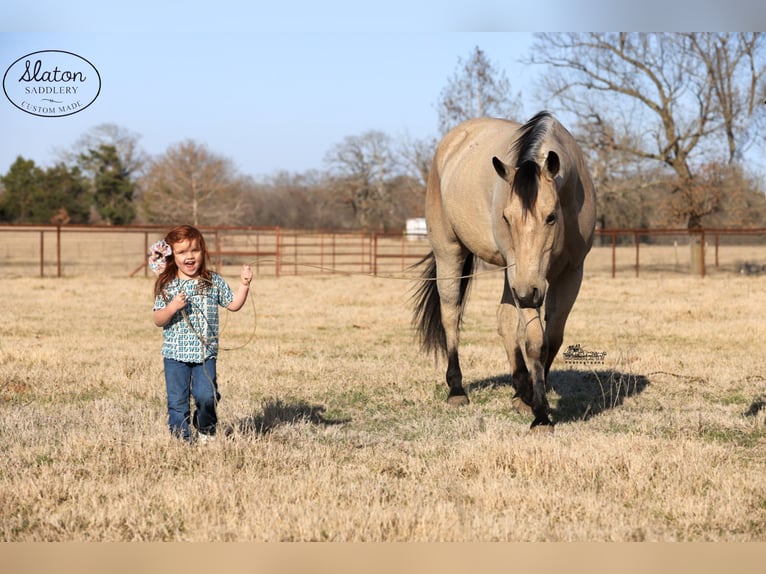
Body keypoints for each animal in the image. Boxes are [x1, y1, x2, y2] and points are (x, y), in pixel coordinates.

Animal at [414, 111, 600, 428]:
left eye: (551, 217)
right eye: (506, 217)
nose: (526, 295)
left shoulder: (569, 274)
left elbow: (552, 338)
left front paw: (533, 398)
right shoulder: (523, 278)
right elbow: (535, 341)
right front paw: (541, 416)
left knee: (504, 321)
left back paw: (520, 389)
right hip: (450, 253)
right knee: (451, 315)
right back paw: (457, 390)